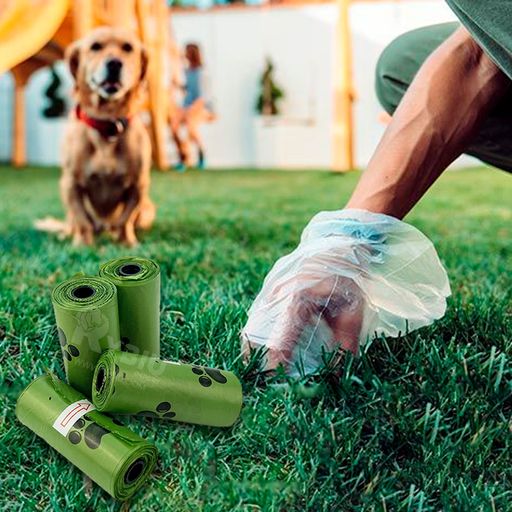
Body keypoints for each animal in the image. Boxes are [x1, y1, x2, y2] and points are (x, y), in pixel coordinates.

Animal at [38, 27, 154, 247]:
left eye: (128, 48)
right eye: (95, 47)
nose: (114, 63)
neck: (107, 124)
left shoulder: (139, 185)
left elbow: (125, 219)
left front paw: (127, 242)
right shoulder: (70, 185)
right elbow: (83, 220)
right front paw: (83, 245)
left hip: (147, 210)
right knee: (74, 223)